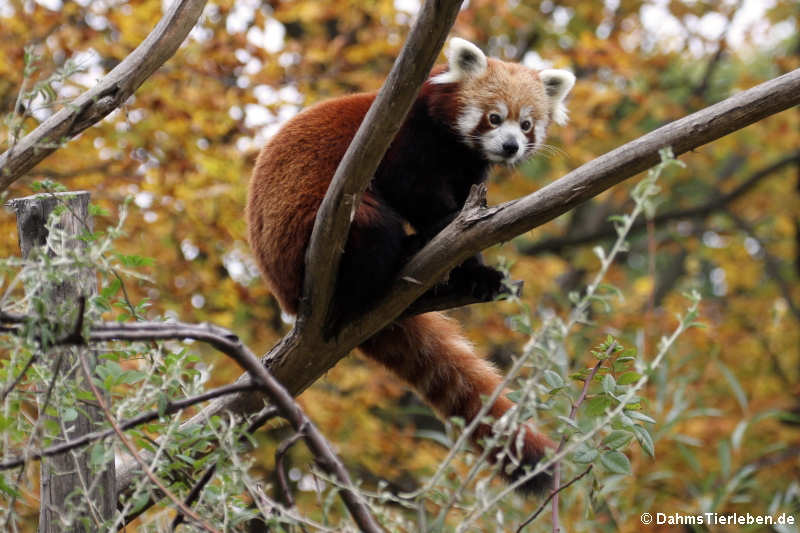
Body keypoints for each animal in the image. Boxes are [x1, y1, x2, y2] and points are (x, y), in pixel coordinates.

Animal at [247, 39, 572, 492]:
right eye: (494, 117)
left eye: (526, 124)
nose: (510, 146)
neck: (452, 144)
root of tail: (286, 295)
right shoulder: (402, 141)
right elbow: (415, 192)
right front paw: (449, 236)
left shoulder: (468, 169)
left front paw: (479, 274)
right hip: (310, 231)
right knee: (373, 225)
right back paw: (391, 269)